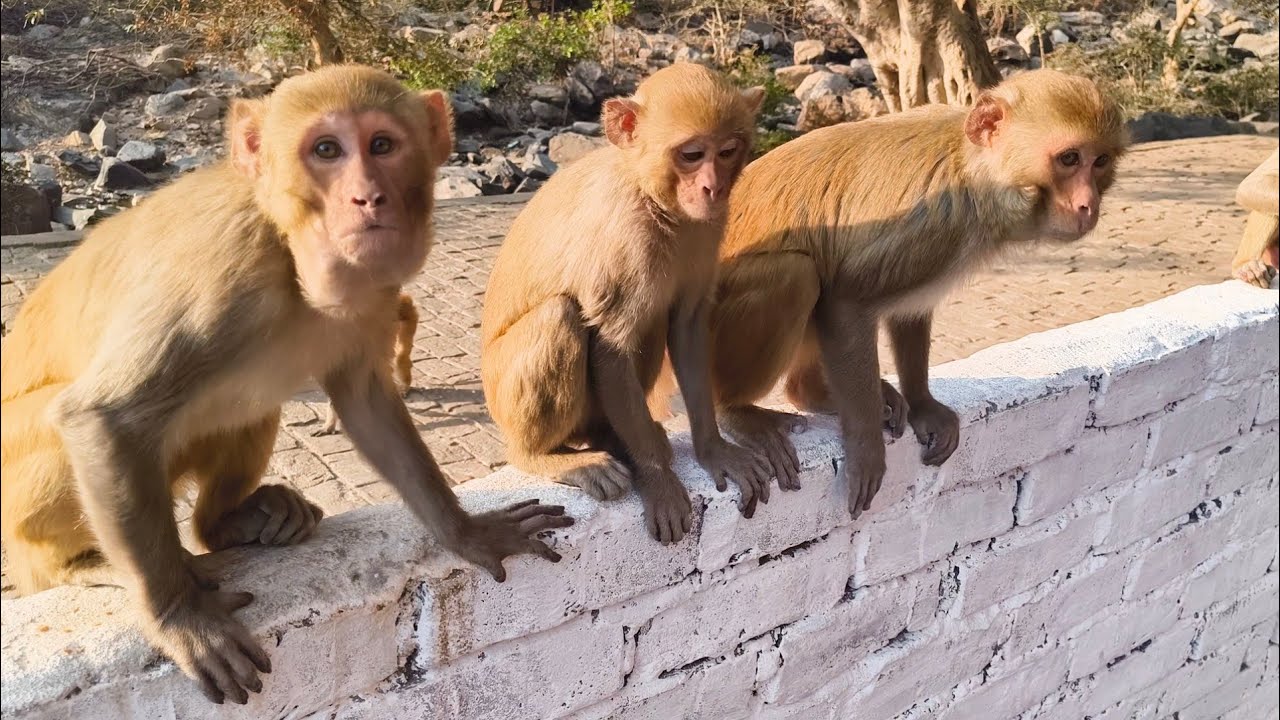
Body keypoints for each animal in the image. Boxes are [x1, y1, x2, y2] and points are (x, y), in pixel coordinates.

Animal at [479, 63, 773, 544]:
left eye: (728, 151)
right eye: (692, 154)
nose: (712, 188)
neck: (651, 196)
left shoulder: (707, 228)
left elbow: (686, 326)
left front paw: (713, 449)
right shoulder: (627, 237)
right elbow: (611, 347)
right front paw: (657, 480)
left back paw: (613, 438)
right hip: (502, 397)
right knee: (562, 315)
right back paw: (548, 457)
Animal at [664, 68, 1127, 519]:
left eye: (1100, 161)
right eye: (1069, 159)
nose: (1088, 205)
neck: (973, 169)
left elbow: (909, 310)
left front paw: (923, 403)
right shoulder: (931, 219)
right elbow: (846, 300)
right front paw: (866, 444)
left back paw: (812, 392)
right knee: (798, 273)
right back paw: (735, 409)